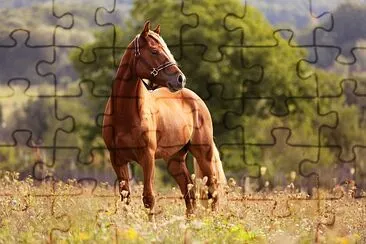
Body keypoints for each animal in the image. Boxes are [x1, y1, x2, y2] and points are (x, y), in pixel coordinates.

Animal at [103, 21, 226, 215]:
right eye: (154, 51)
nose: (180, 79)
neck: (125, 115)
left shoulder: (147, 158)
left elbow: (148, 198)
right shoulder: (118, 160)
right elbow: (125, 199)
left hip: (203, 153)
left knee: (212, 191)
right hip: (175, 160)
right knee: (189, 193)